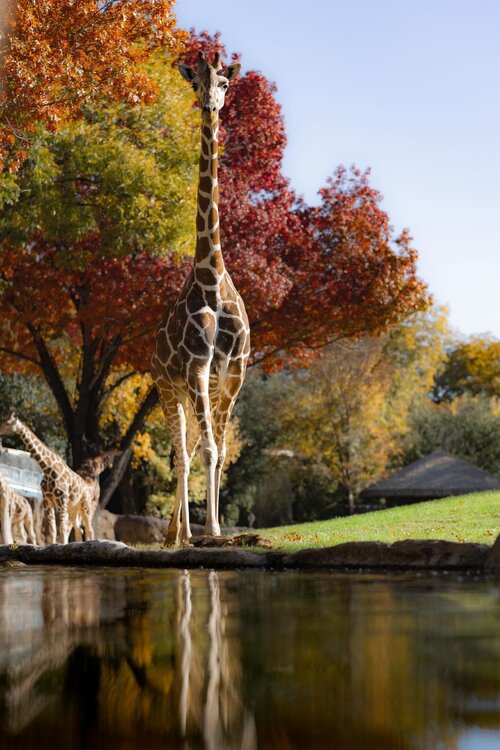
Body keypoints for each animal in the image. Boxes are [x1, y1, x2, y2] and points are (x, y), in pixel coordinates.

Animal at [0, 414, 97, 544]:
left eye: (7, 423)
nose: (0, 430)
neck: (47, 469)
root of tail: (86, 486)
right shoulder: (47, 500)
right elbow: (52, 529)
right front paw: (52, 545)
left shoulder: (61, 500)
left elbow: (62, 528)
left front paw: (63, 545)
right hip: (73, 508)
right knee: (79, 529)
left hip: (84, 505)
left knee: (89, 528)